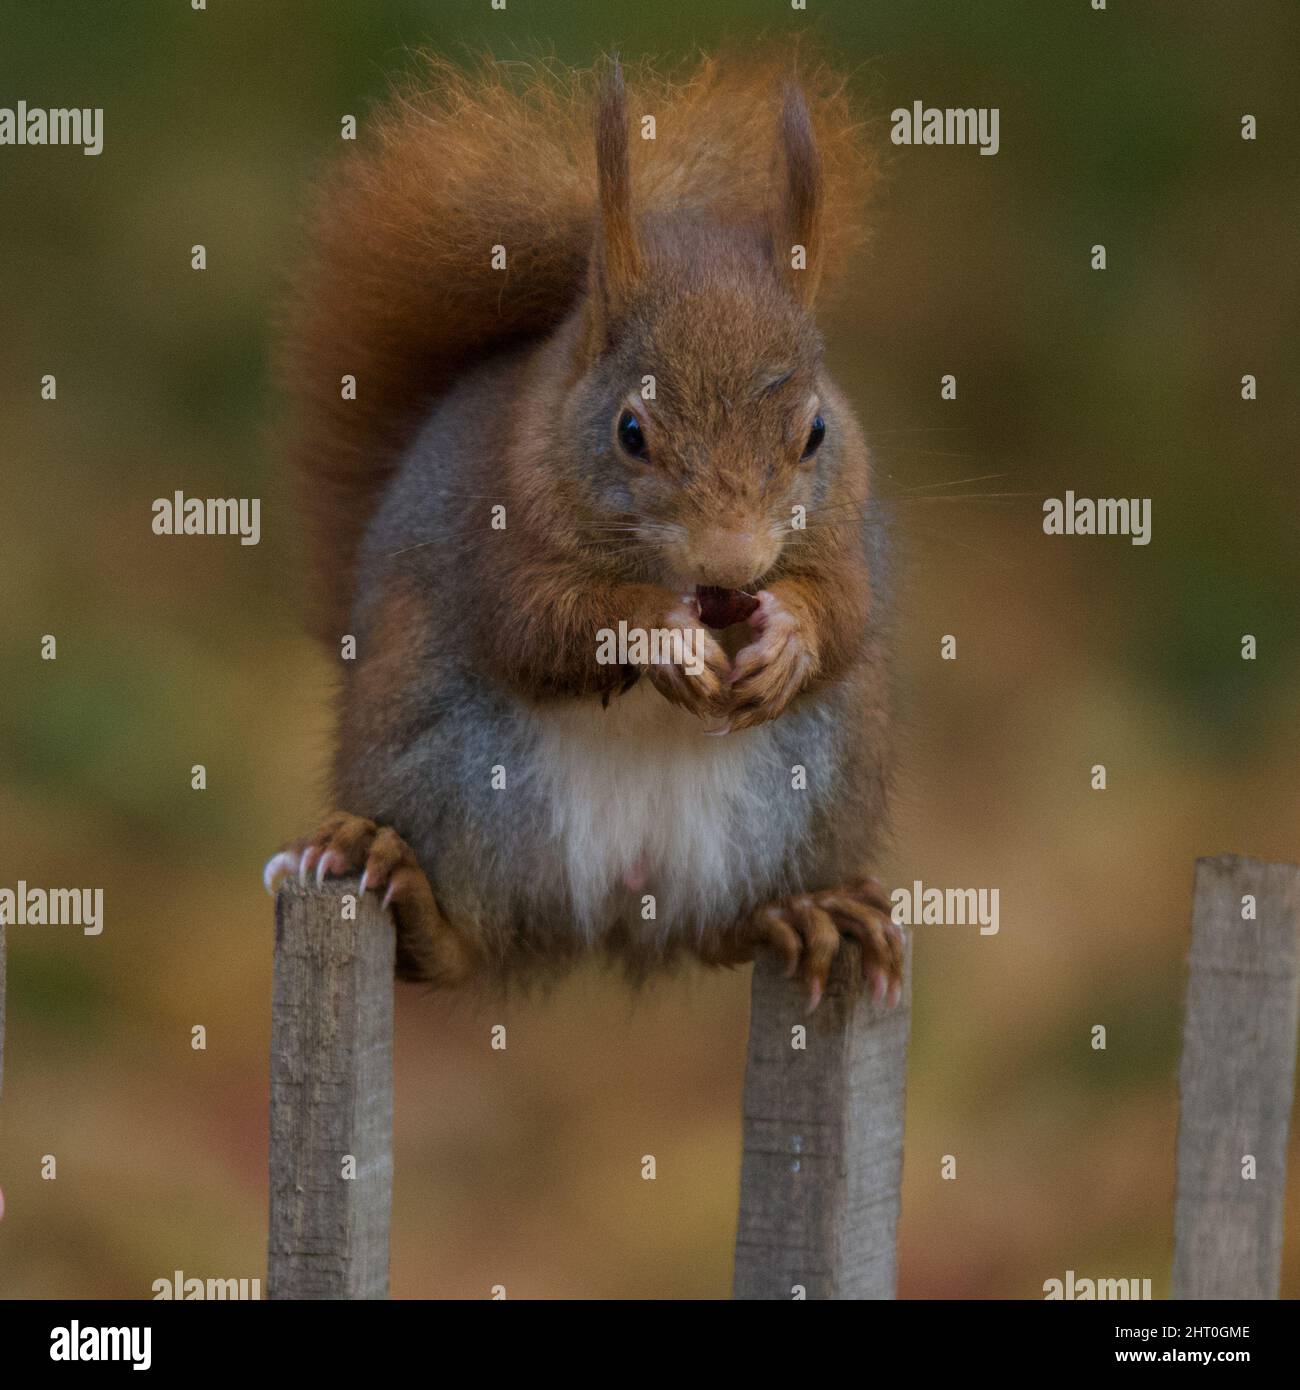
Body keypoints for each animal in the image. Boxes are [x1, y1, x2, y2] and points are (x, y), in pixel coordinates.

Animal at [265, 54, 906, 1011]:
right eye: (630, 431)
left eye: (817, 432)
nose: (732, 564)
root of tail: (612, 913)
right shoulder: (495, 532)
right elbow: (534, 625)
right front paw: (658, 636)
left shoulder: (844, 533)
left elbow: (846, 610)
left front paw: (790, 636)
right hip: (448, 764)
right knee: (469, 947)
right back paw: (405, 889)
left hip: (818, 785)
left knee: (717, 936)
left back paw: (803, 914)